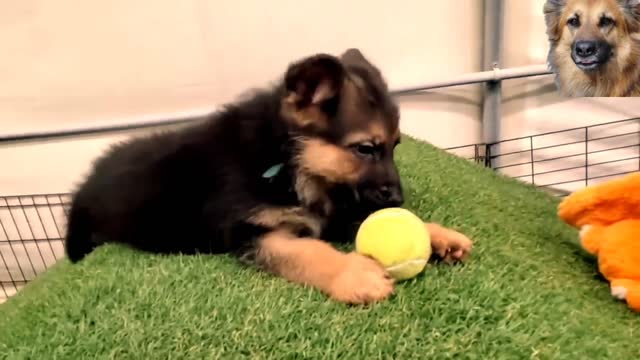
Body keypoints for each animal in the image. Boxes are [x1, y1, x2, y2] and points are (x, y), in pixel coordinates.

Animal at [65, 48, 472, 304]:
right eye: (365, 149)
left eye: (395, 146)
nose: (400, 199)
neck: (287, 160)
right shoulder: (253, 233)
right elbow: (308, 251)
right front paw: (352, 273)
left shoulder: (327, 211)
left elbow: (362, 218)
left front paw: (437, 235)